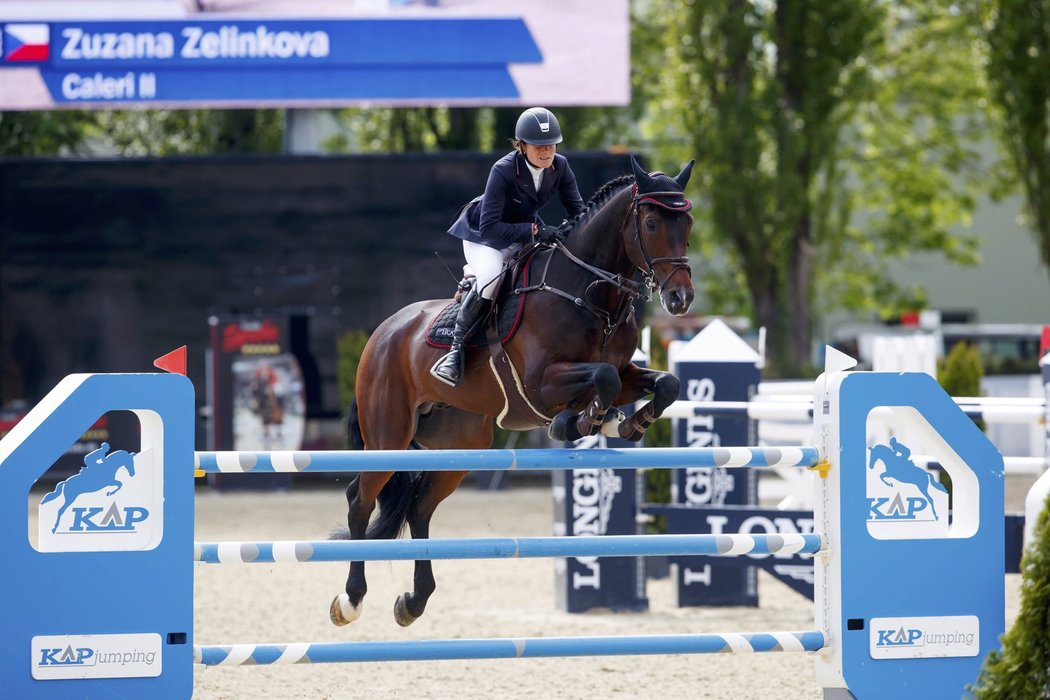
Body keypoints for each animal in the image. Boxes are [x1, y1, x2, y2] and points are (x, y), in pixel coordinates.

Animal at [329, 156, 697, 625]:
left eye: (687, 222)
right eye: (650, 223)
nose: (681, 298)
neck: (590, 295)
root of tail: (381, 333)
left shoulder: (623, 369)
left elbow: (662, 383)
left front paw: (625, 423)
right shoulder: (542, 382)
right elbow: (602, 379)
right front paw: (581, 423)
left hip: (460, 444)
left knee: (419, 506)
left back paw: (414, 601)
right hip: (388, 436)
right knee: (359, 500)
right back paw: (351, 600)